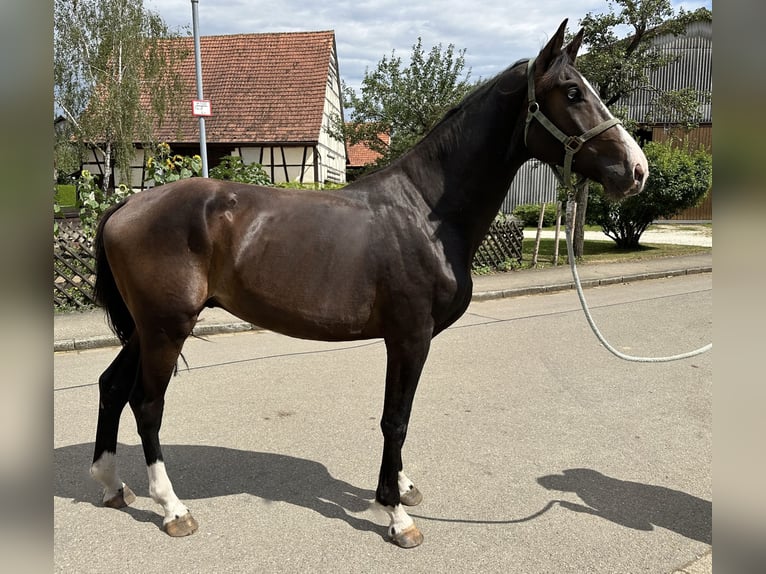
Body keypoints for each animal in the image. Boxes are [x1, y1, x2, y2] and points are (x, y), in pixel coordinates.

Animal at [90, 20, 652, 552]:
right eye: (572, 92)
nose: (637, 170)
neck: (426, 212)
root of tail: (127, 204)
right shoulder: (409, 337)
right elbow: (395, 419)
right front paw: (397, 516)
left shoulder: (405, 339)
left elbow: (398, 418)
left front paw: (401, 487)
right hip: (167, 328)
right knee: (147, 404)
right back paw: (172, 508)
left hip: (146, 328)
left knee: (112, 387)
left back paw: (112, 486)